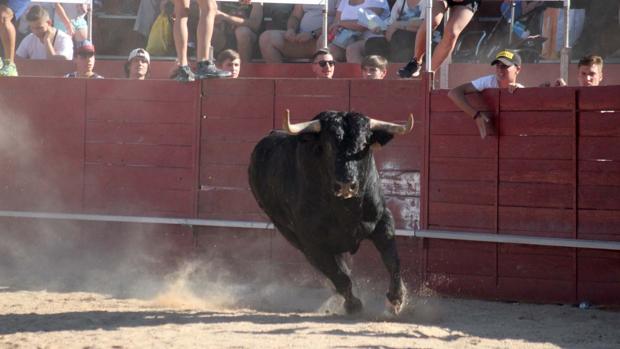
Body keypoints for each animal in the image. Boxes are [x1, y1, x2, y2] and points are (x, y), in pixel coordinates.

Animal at [246, 110, 412, 314]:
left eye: (364, 144)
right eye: (328, 146)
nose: (346, 185)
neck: (345, 208)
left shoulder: (383, 221)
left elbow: (392, 261)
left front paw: (396, 299)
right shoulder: (312, 243)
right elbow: (339, 276)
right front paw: (353, 306)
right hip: (291, 235)